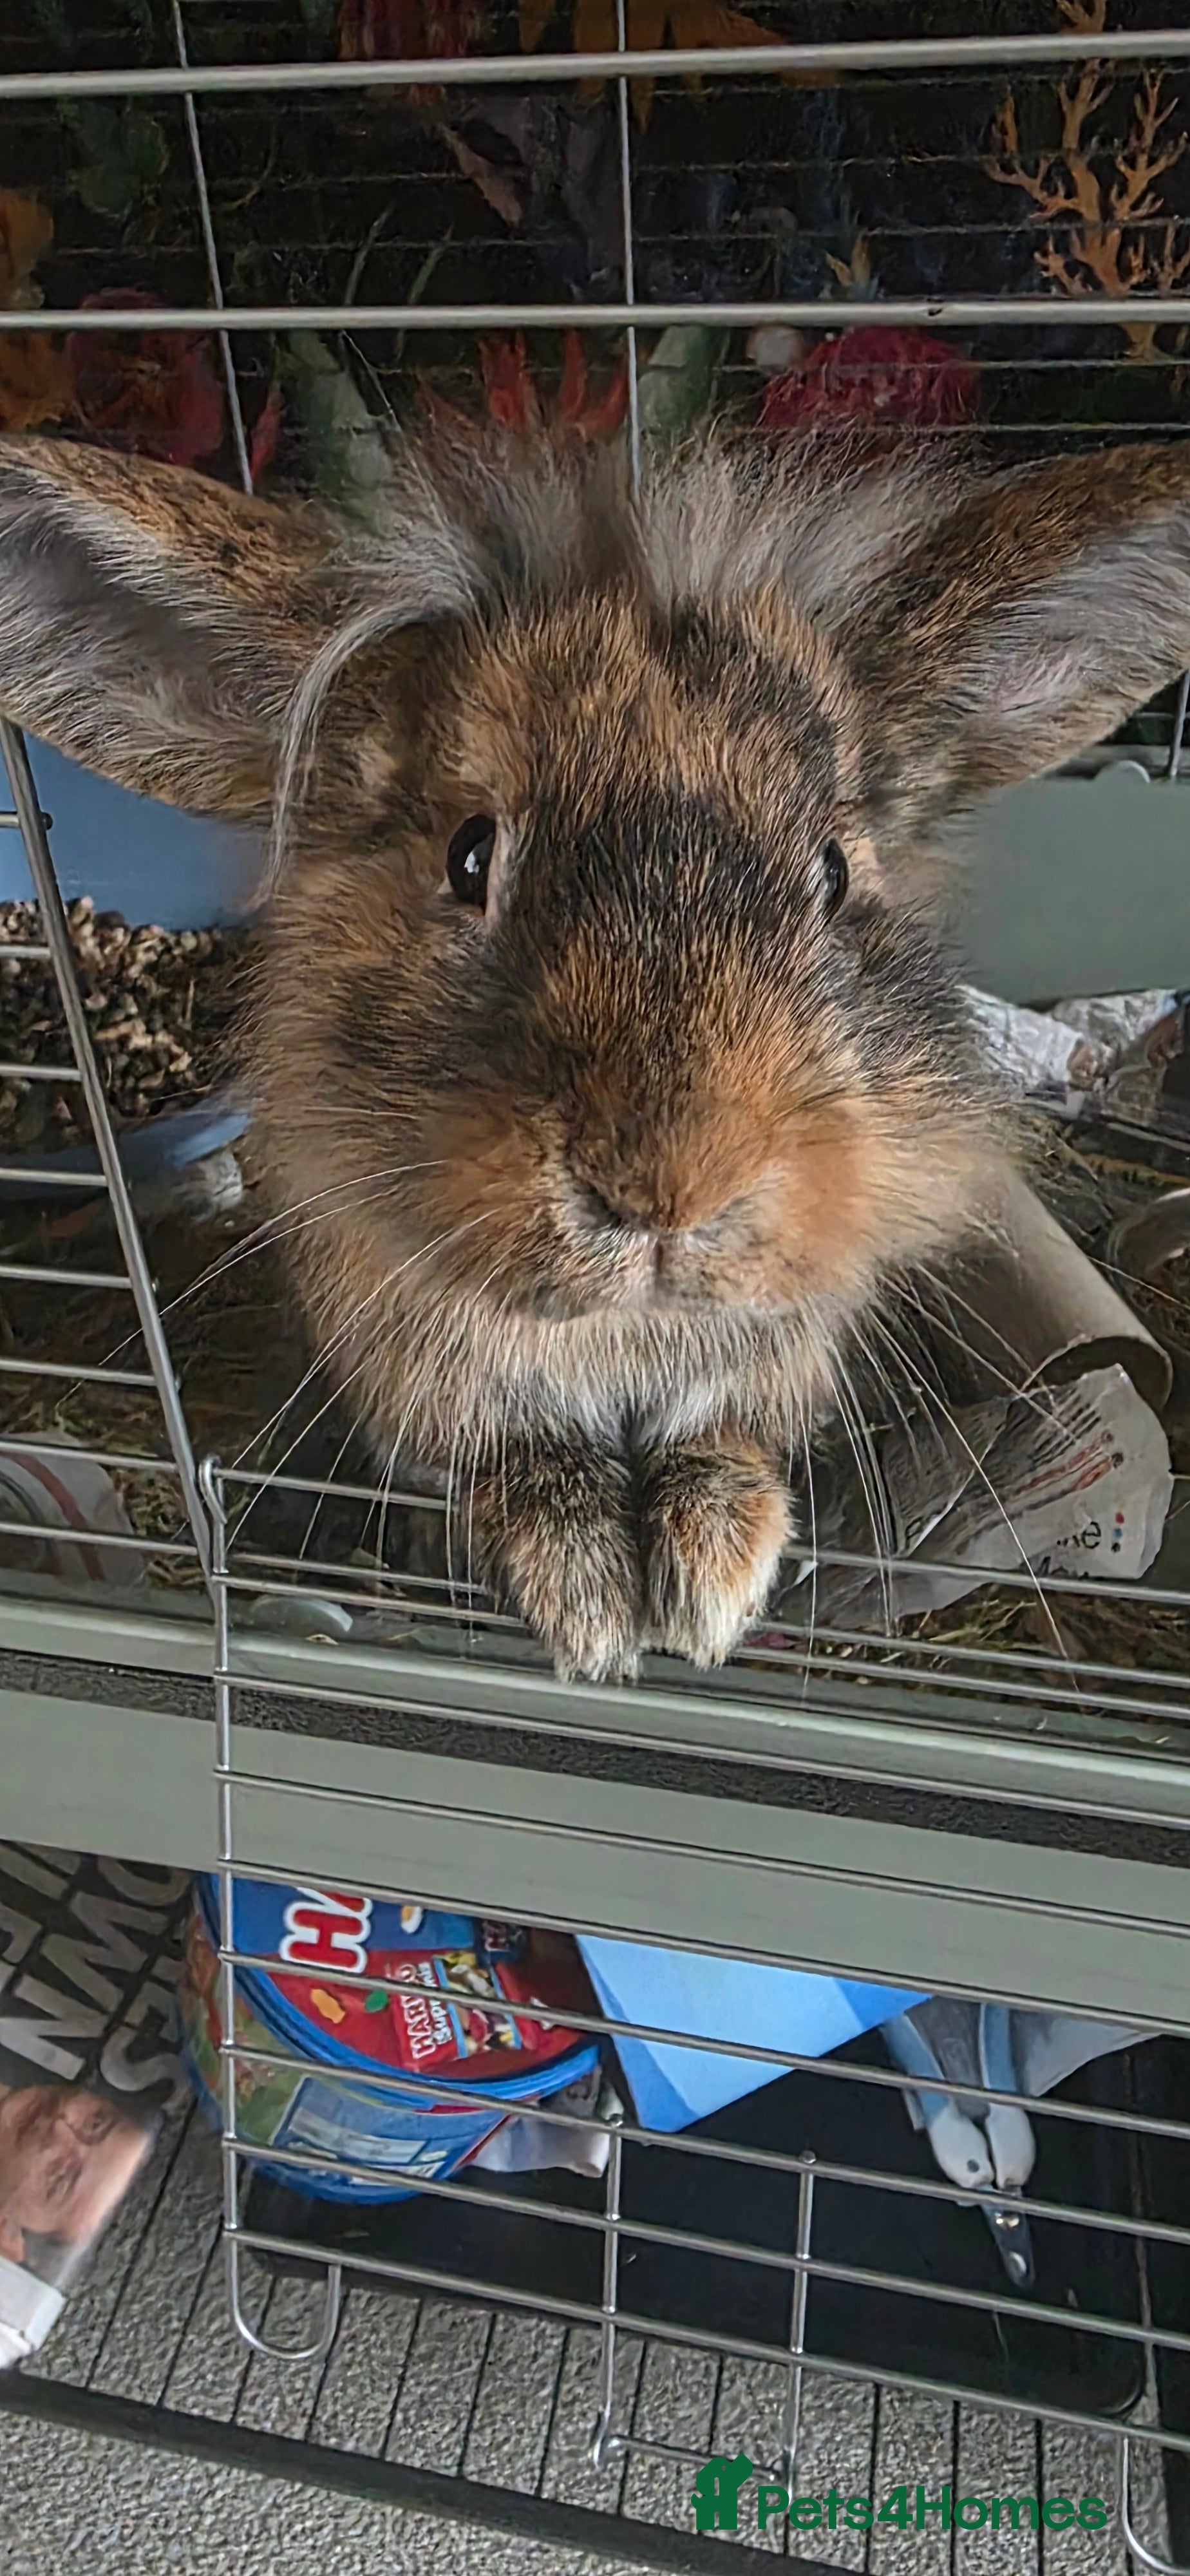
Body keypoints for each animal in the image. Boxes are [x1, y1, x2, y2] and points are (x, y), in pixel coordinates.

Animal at [0, 422, 1189, 1682]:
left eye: (833, 874)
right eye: (470, 857)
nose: (670, 1189)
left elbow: (721, 1440)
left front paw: (710, 1580)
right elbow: (514, 1459)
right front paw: (584, 1605)